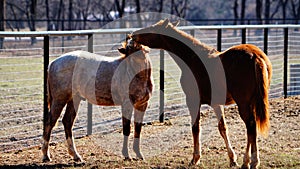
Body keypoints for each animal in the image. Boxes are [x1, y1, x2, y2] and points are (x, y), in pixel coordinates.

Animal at [131, 18, 272, 169]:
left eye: (153, 29)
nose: (134, 35)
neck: (194, 60)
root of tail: (256, 57)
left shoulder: (193, 101)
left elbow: (195, 128)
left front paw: (195, 158)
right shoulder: (216, 104)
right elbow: (223, 128)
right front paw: (232, 159)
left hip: (243, 104)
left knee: (250, 126)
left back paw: (250, 161)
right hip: (252, 102)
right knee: (252, 128)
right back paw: (249, 161)